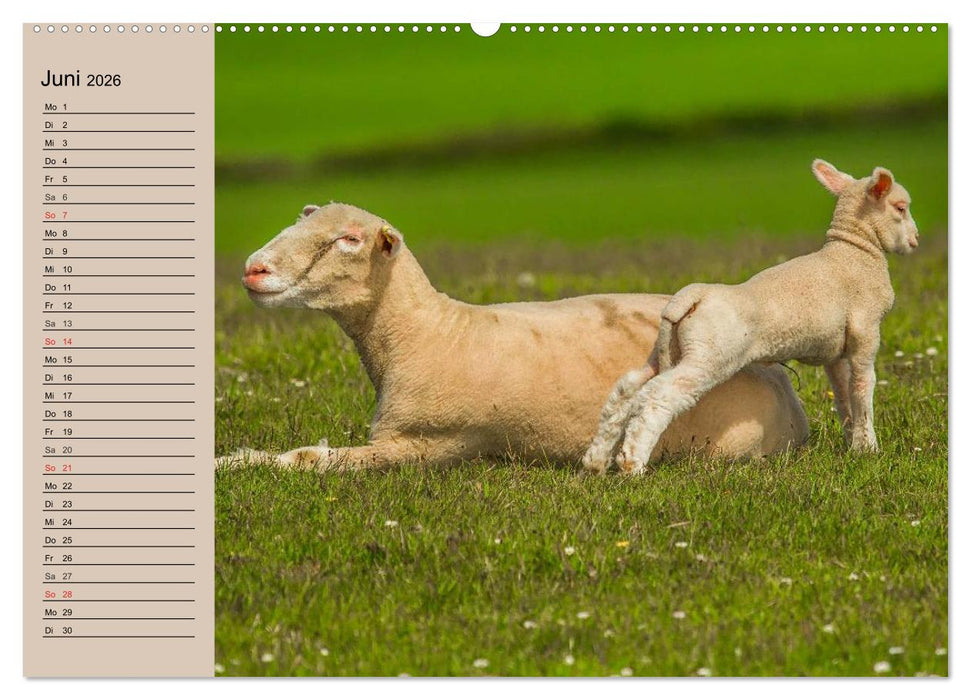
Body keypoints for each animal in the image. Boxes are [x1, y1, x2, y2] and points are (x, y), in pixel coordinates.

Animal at [221, 202, 810, 471]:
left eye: (348, 239)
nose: (253, 269)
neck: (428, 331)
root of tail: (786, 390)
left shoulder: (425, 445)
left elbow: (307, 458)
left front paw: (233, 463)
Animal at [583, 160, 918, 475]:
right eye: (901, 208)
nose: (915, 240)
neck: (855, 251)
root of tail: (691, 297)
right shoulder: (866, 331)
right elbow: (862, 388)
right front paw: (869, 449)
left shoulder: (834, 352)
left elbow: (843, 396)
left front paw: (853, 444)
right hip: (708, 356)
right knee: (658, 395)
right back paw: (633, 464)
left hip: (669, 349)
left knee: (628, 388)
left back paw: (596, 460)